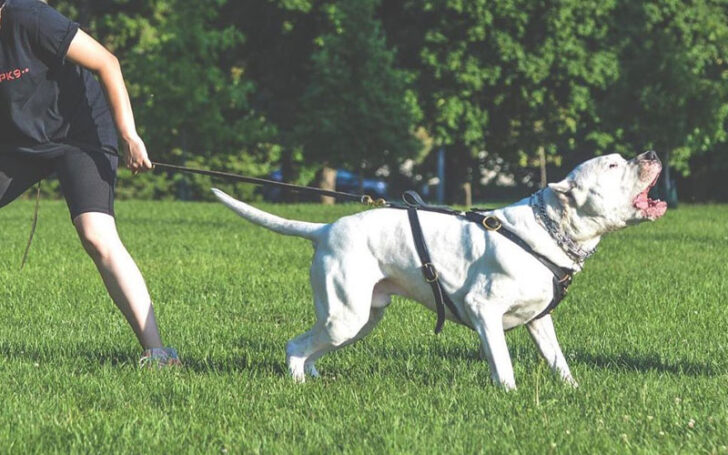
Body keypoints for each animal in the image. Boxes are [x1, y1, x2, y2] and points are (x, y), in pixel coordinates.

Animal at [210, 151, 664, 390]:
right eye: (612, 166)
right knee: (295, 346)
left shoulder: (540, 321)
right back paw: (299, 383)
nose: (651, 155)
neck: (548, 227)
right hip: (346, 318)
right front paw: (510, 395)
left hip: (360, 318)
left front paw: (573, 391)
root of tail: (323, 229)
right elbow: (502, 362)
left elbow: (559, 362)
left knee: (313, 345)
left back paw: (314, 373)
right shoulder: (484, 310)